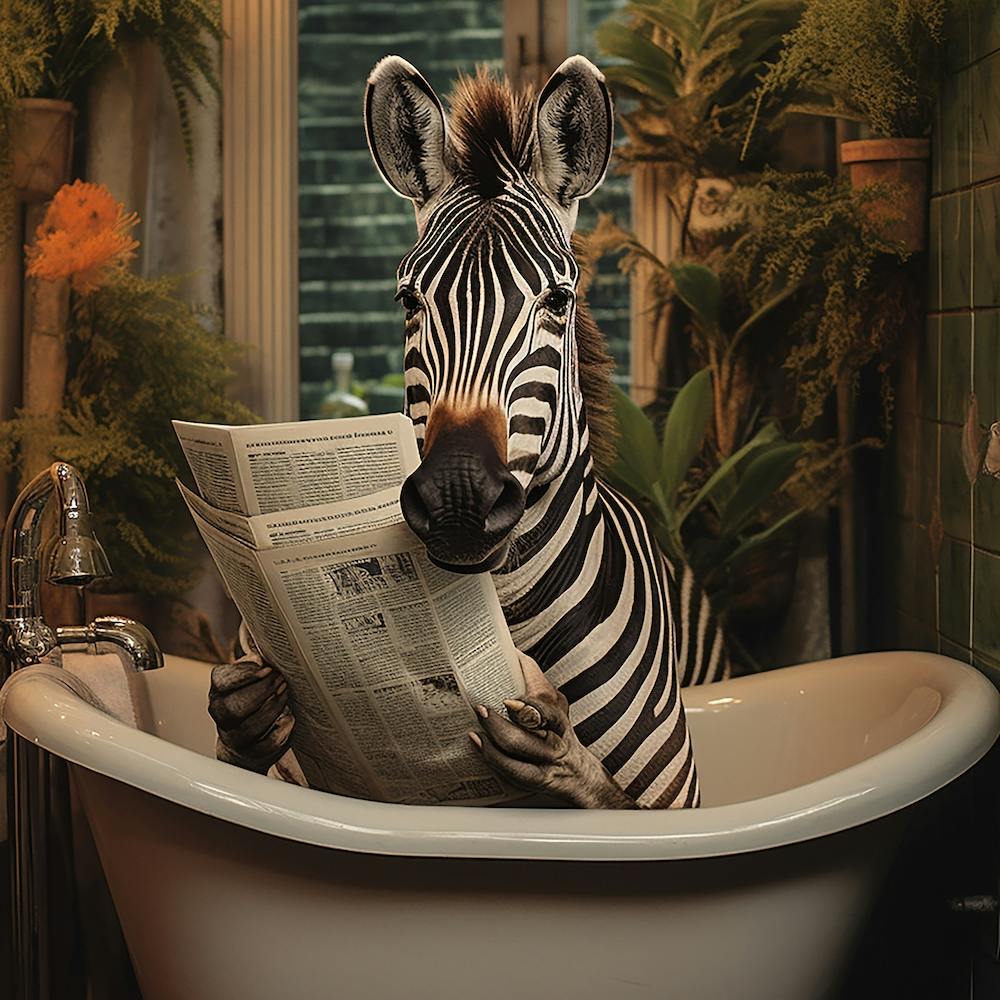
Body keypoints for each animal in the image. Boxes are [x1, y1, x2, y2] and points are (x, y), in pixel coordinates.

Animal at [209, 55, 729, 809]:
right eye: (408, 300)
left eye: (558, 300)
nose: (458, 498)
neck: (499, 614)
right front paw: (247, 711)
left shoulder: (674, 802)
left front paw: (558, 754)